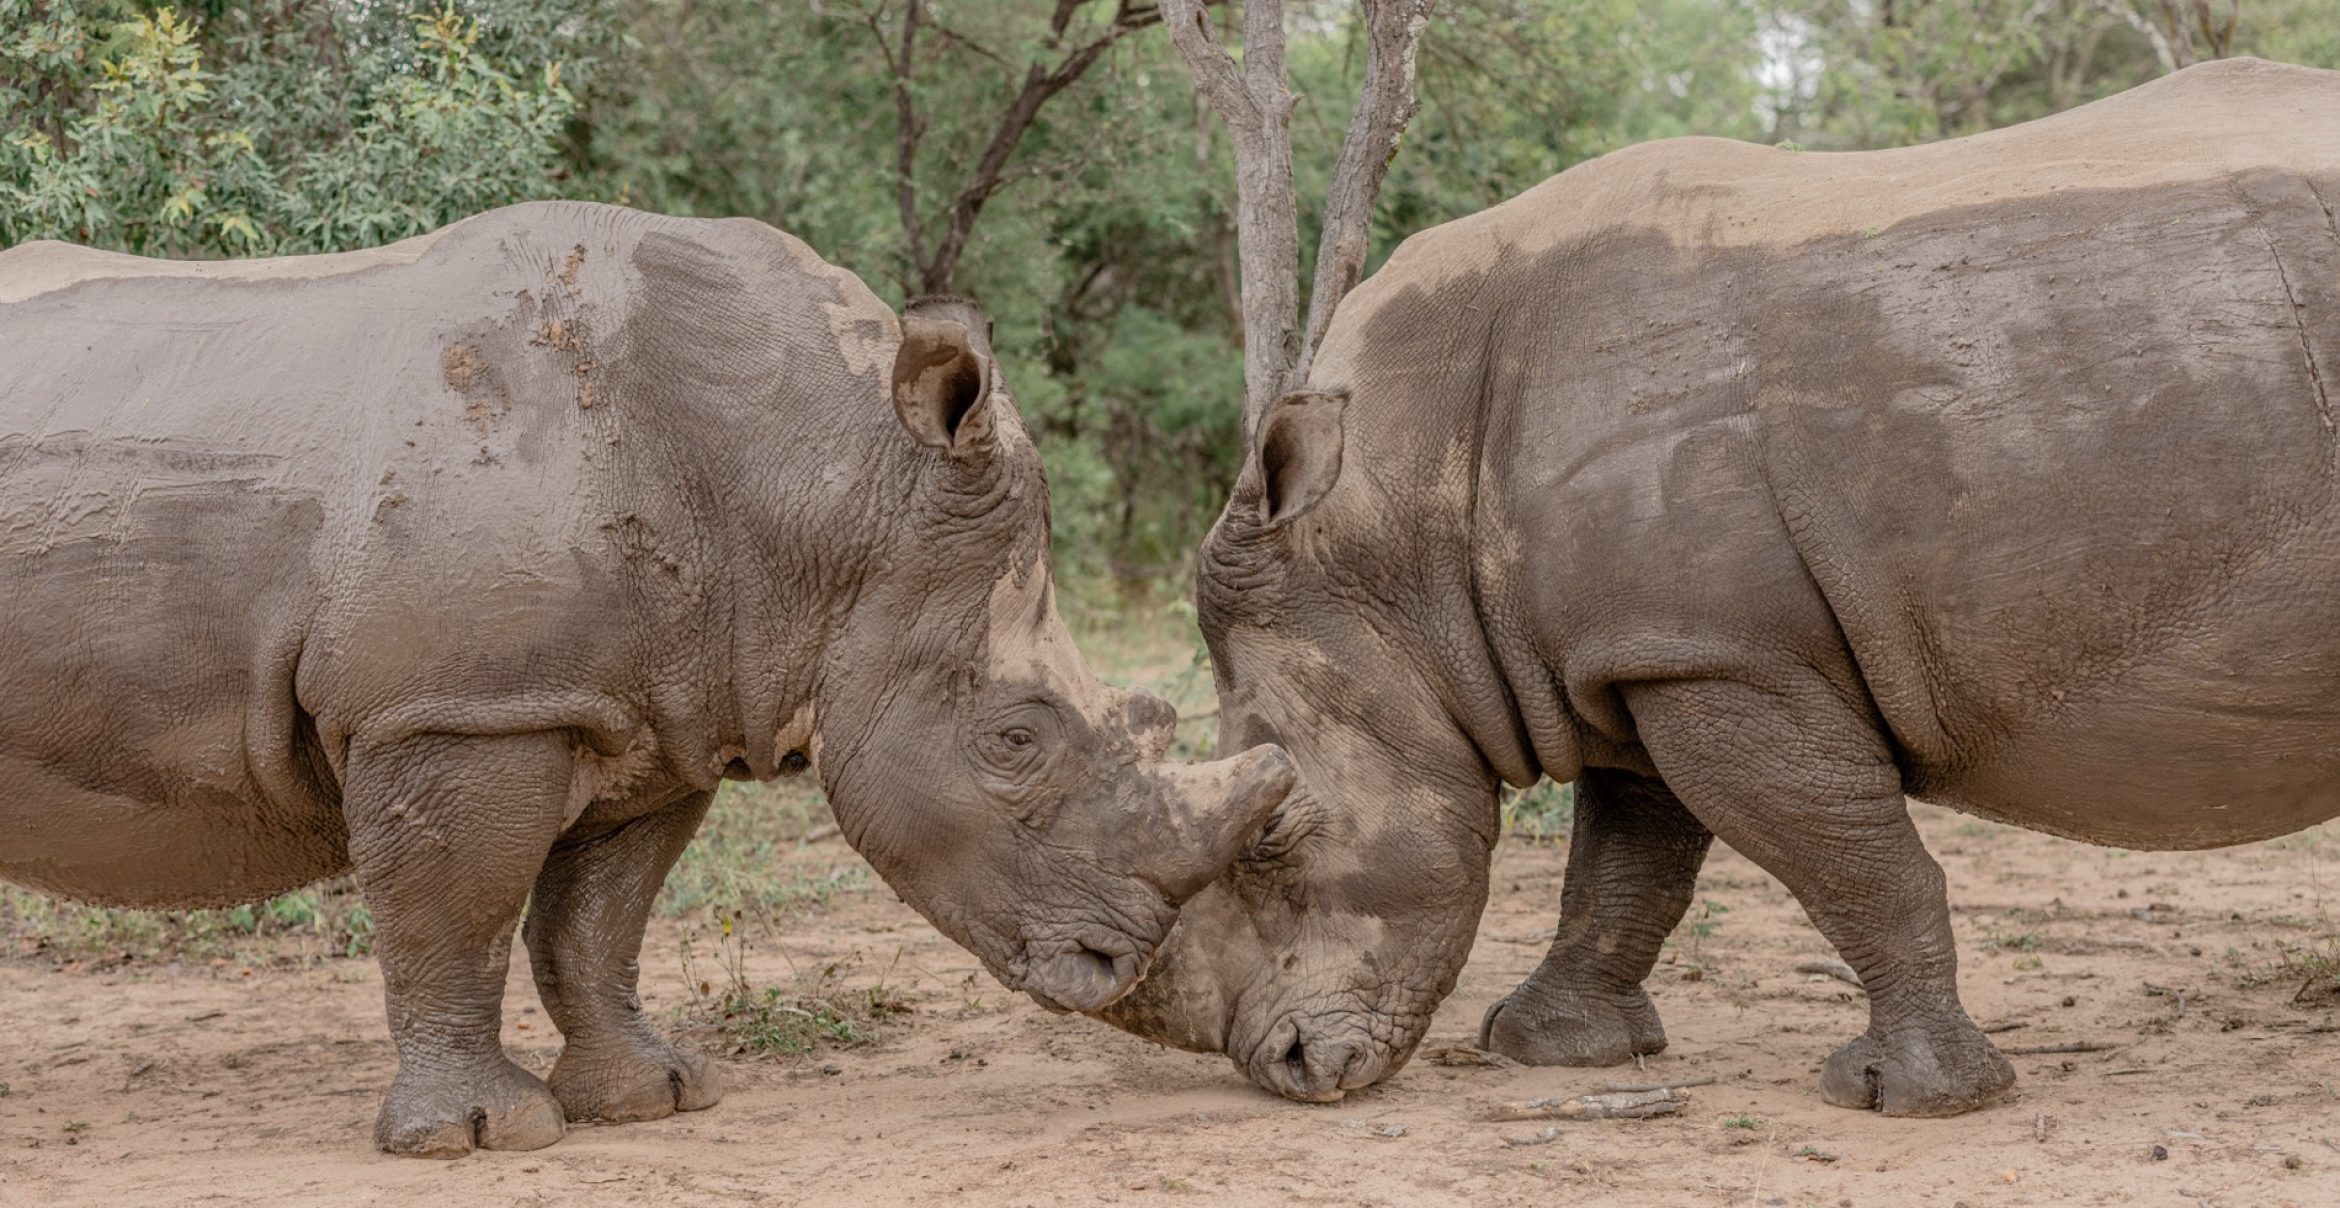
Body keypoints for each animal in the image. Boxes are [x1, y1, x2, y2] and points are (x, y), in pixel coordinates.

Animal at [0, 201, 1295, 1155]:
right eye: (1017, 738)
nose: (1119, 961)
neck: (824, 484)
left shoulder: (658, 710)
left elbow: (598, 919)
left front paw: (657, 1096)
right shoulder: (462, 707)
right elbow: (455, 914)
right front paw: (480, 1135)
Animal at [1101, 58, 2340, 1116]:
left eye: (1274, 836)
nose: (1287, 1066)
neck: (1393, 522)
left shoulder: (1721, 653)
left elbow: (1850, 860)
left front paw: (1910, 1097)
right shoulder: (1639, 651)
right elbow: (1626, 866)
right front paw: (1548, 1048)